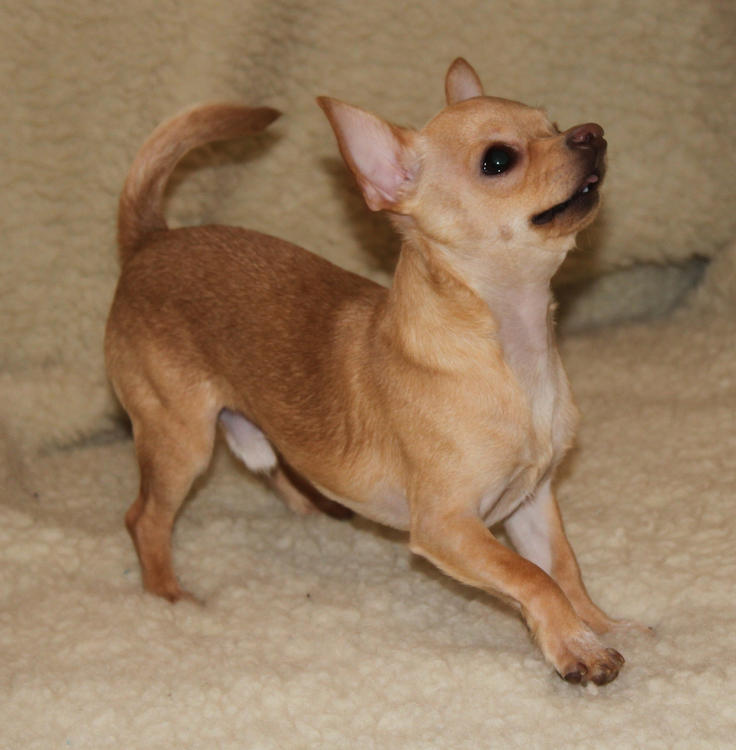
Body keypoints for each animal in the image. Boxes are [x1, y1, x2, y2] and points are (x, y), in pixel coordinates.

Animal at [106, 58, 632, 685]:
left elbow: (564, 568)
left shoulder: (532, 503)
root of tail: (150, 241)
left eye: (552, 125)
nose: (592, 132)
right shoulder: (446, 525)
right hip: (179, 441)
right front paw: (575, 646)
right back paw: (168, 596)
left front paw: (600, 625)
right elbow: (534, 578)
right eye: (498, 161)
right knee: (145, 518)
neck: (516, 352)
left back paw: (316, 509)